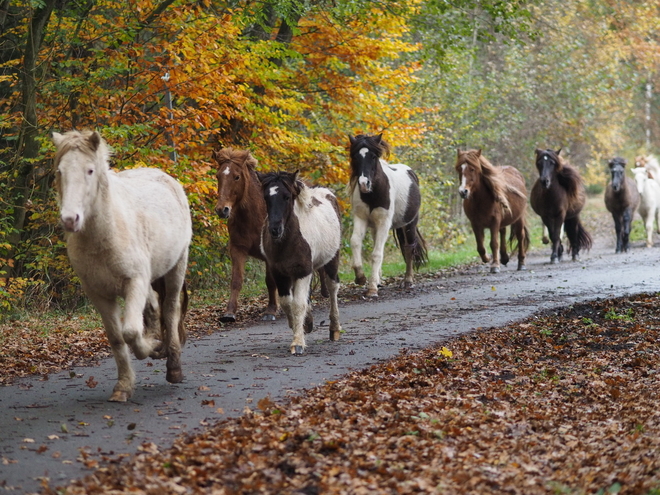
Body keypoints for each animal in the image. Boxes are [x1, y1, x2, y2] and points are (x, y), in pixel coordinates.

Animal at [52, 131, 192, 404]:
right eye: (60, 171)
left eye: (90, 170)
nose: (70, 219)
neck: (105, 236)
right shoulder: (99, 294)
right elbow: (117, 338)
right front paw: (123, 386)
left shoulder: (134, 283)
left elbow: (130, 332)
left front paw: (152, 347)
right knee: (155, 305)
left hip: (177, 267)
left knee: (170, 311)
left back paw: (173, 365)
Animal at [213, 149, 278, 324]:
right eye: (218, 176)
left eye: (237, 177)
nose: (222, 209)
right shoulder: (237, 249)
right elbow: (236, 281)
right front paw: (229, 312)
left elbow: (270, 281)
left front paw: (271, 310)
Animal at [256, 171, 342, 356]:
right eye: (266, 197)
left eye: (287, 197)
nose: (275, 230)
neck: (288, 241)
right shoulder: (279, 274)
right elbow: (287, 303)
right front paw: (303, 324)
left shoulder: (303, 272)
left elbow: (298, 304)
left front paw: (298, 343)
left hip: (332, 260)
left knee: (332, 288)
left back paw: (334, 328)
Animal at [346, 133, 428, 298]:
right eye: (355, 157)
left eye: (373, 156)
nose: (364, 184)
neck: (373, 194)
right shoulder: (361, 218)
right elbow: (355, 242)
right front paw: (361, 277)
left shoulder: (384, 222)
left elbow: (377, 254)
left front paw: (372, 289)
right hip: (374, 226)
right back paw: (378, 279)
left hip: (409, 223)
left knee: (409, 248)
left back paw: (408, 280)